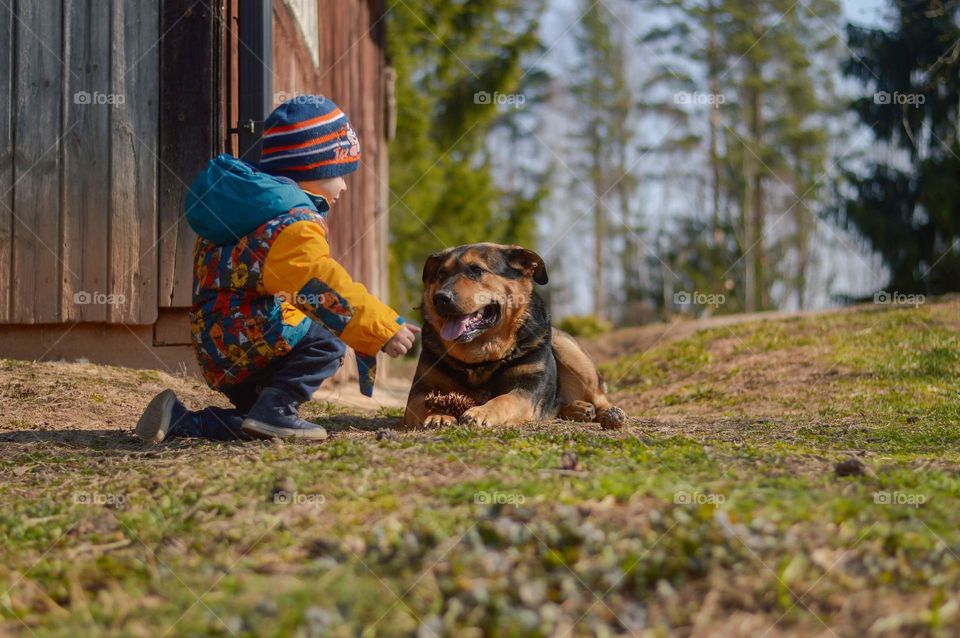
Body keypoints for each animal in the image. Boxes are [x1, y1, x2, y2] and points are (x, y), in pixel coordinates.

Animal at [402, 244, 628, 430]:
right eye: (441, 273)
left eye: (476, 270)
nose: (440, 298)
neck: (480, 358)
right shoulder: (421, 388)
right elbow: (422, 402)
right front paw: (438, 414)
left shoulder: (529, 388)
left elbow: (506, 399)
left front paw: (482, 411)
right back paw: (578, 409)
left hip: (567, 348)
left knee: (600, 397)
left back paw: (610, 414)